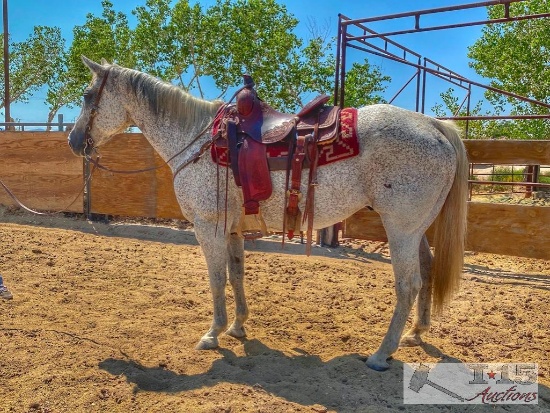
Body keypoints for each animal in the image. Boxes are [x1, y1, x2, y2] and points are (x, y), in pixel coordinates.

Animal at [67, 57, 468, 370]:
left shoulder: (208, 227)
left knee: (408, 284)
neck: (198, 140)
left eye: (87, 96)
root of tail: (433, 124)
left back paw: (381, 354)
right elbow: (236, 275)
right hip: (417, 229)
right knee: (427, 270)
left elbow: (216, 279)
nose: (73, 141)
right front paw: (238, 326)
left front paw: (213, 333)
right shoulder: (232, 229)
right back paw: (416, 333)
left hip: (400, 228)